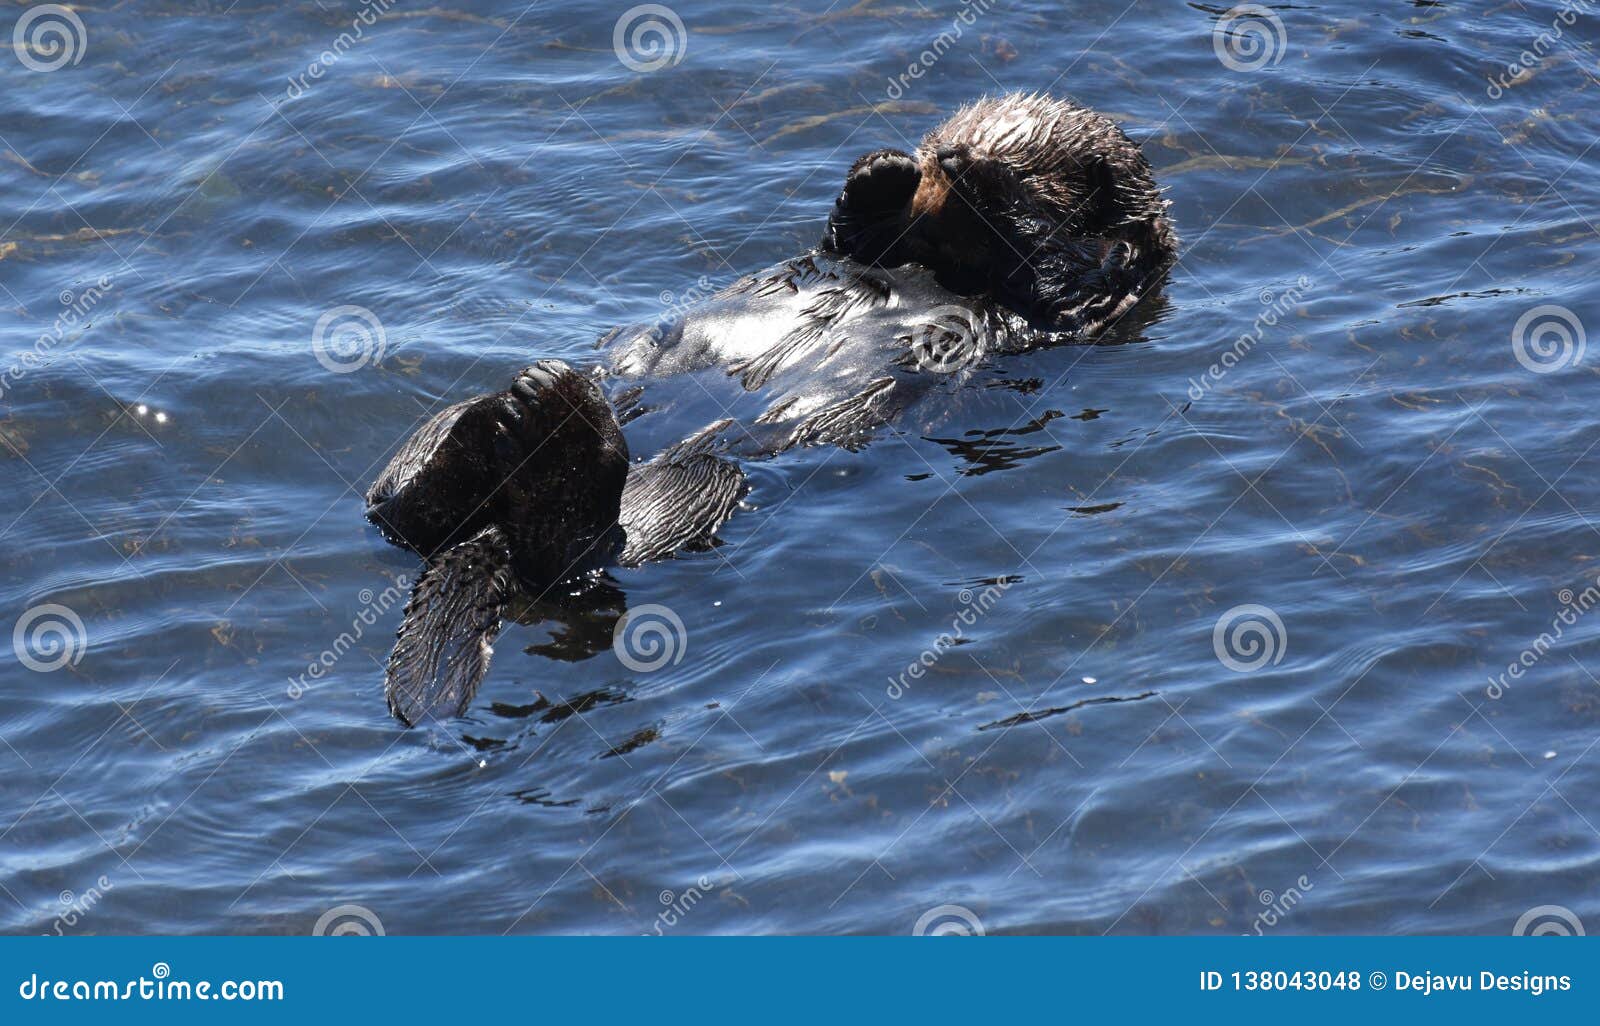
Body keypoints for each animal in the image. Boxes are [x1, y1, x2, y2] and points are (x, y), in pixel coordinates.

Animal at [366, 92, 1177, 723]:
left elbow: (1050, 264)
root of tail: (493, 524)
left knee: (579, 547)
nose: (946, 156)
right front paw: (881, 172)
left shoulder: (1095, 286)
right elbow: (850, 237)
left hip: (694, 485)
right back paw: (498, 415)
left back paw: (553, 419)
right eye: (951, 128)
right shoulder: (878, 248)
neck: (943, 259)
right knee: (400, 504)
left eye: (1005, 158)